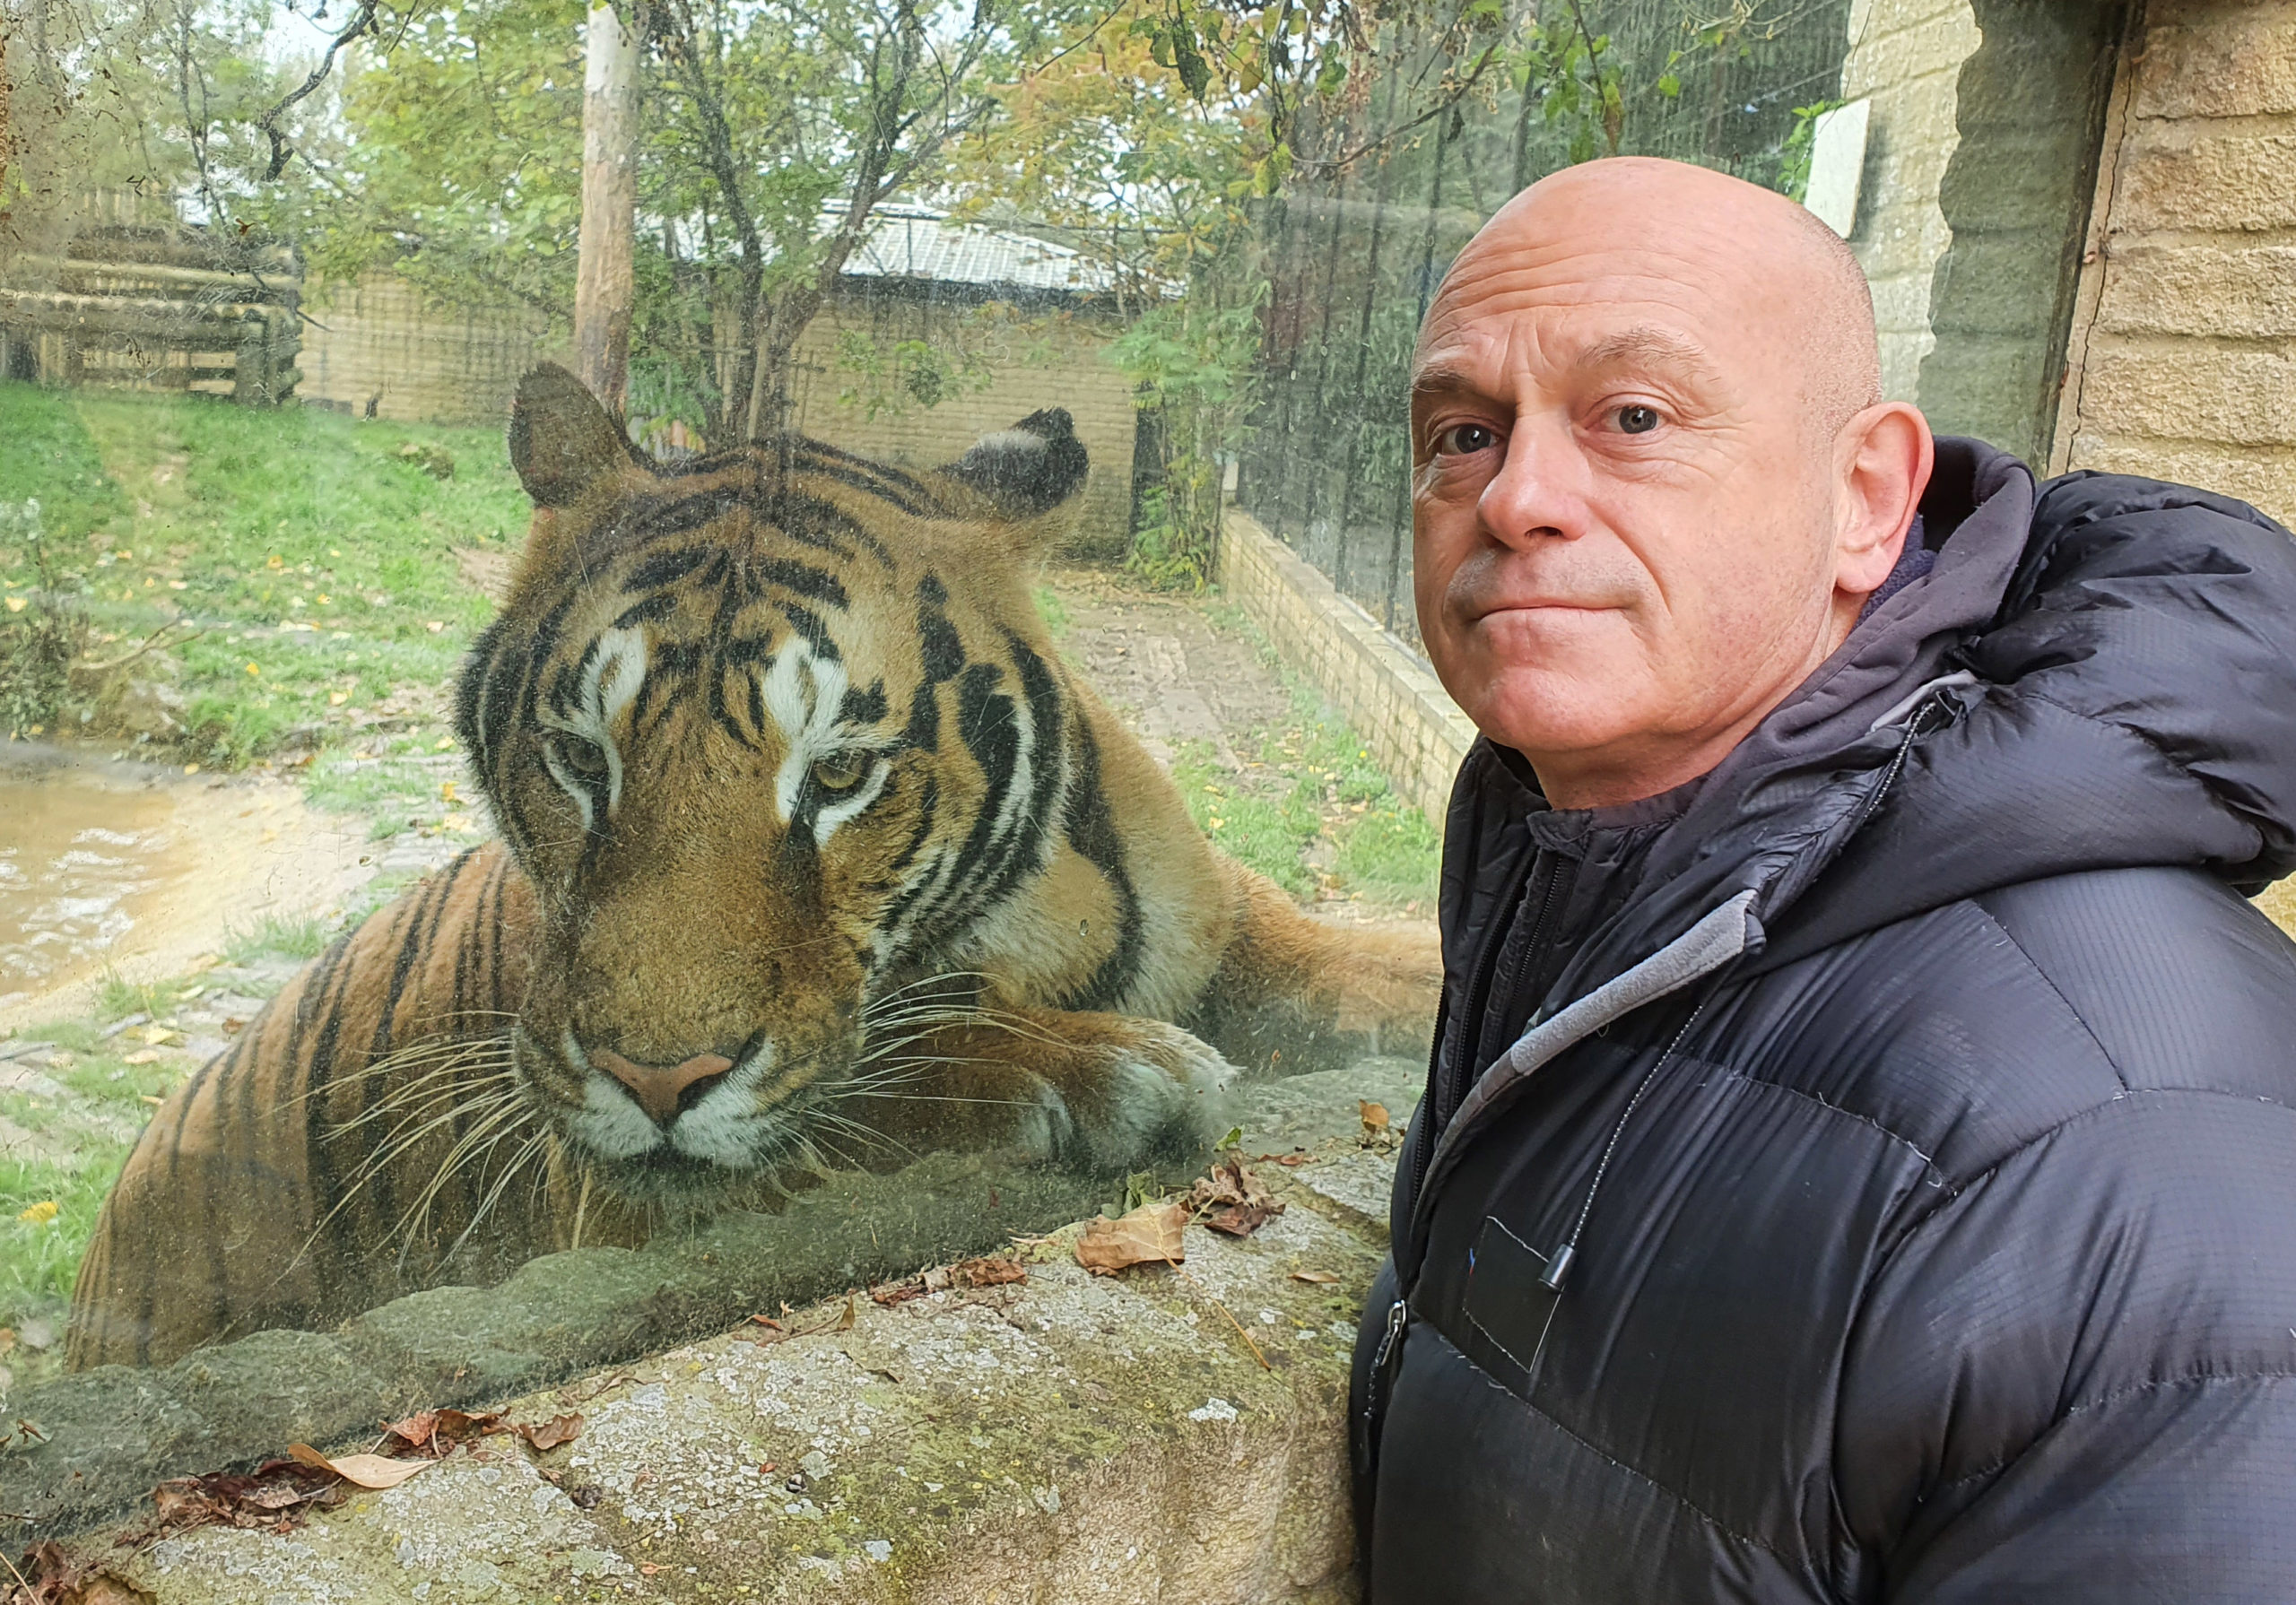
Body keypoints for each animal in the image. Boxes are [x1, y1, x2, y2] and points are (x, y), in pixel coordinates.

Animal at [66, 363, 1442, 1370]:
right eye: (581, 758)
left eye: (836, 776)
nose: (652, 1080)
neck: (1030, 919)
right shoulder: (614, 1189)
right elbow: (858, 1082)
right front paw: (1083, 1066)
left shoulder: (1218, 911)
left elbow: (1319, 946)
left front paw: (1428, 983)